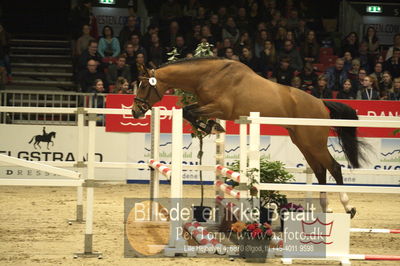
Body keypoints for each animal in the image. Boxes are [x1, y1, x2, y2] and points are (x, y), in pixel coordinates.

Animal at [132, 57, 366, 217]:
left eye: (143, 85)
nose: (135, 112)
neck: (208, 76)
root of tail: (320, 103)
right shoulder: (208, 106)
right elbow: (190, 112)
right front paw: (211, 126)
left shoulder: (219, 107)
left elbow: (189, 111)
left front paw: (210, 126)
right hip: (302, 141)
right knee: (320, 170)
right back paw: (325, 208)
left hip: (314, 142)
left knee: (334, 167)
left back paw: (348, 206)